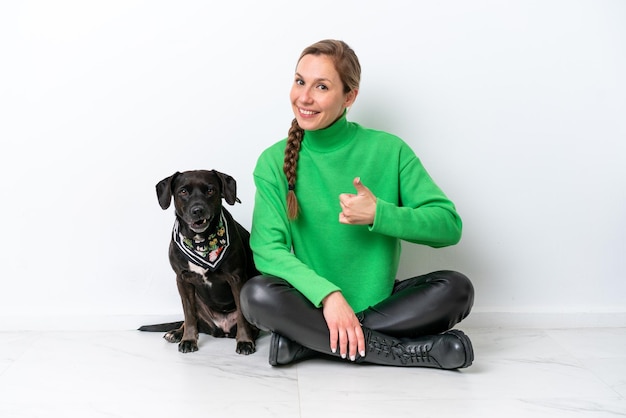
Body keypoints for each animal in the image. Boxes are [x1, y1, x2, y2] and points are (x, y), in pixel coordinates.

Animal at [139, 168, 258, 354]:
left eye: (210, 190)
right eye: (183, 191)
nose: (197, 210)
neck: (201, 241)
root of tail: (221, 329)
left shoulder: (237, 278)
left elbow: (241, 315)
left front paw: (245, 341)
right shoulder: (182, 279)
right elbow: (189, 314)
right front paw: (188, 339)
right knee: (192, 318)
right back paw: (176, 332)